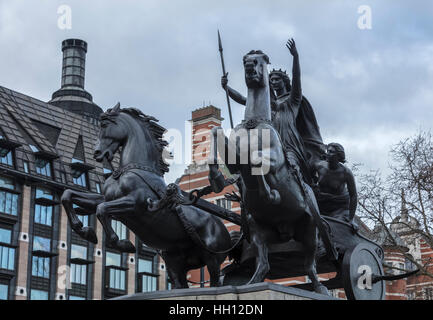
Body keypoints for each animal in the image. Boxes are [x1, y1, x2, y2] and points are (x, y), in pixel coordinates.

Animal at [61, 104, 233, 288]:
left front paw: (122, 243)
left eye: (104, 125)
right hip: (175, 262)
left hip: (212, 259)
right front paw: (84, 230)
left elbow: (101, 210)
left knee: (216, 282)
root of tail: (223, 228)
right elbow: (68, 195)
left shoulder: (136, 204)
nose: (97, 153)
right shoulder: (106, 198)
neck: (132, 169)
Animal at [208, 48, 332, 294]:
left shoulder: (273, 158)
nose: (249, 68)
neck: (254, 123)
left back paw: (319, 288)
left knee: (310, 265)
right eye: (245, 60)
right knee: (264, 263)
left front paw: (270, 194)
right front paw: (216, 178)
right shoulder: (234, 159)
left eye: (260, 60)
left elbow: (257, 161)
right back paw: (252, 283)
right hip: (259, 232)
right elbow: (216, 133)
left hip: (309, 231)